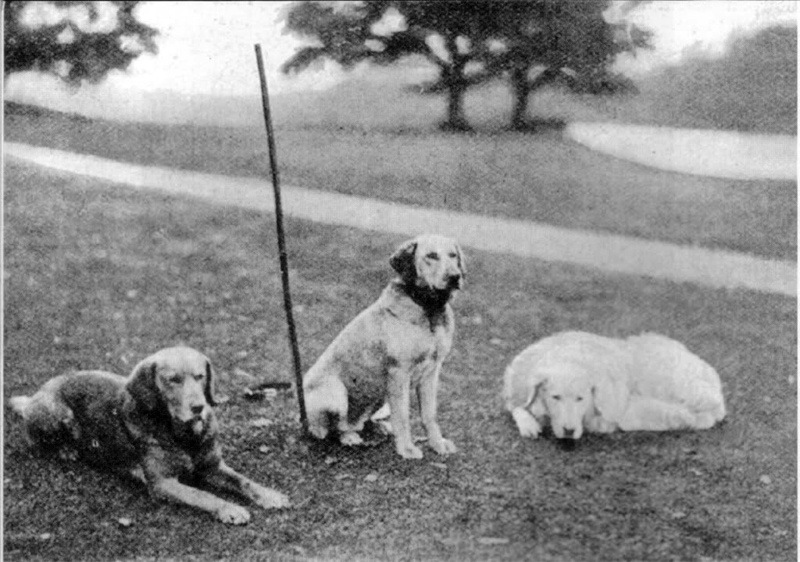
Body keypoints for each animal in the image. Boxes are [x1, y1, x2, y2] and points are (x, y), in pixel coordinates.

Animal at [9, 344, 290, 524]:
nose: (199, 407)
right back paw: (66, 450)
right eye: (173, 379)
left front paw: (268, 494)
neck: (183, 435)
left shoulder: (212, 466)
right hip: (54, 411)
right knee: (36, 440)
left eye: (200, 376)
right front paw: (229, 507)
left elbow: (243, 480)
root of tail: (36, 395)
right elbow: (203, 495)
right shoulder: (162, 483)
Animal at [304, 234, 466, 458]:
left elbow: (429, 414)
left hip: (380, 396)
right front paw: (407, 448)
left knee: (361, 421)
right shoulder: (399, 373)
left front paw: (437, 443)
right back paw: (348, 437)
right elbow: (403, 416)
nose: (454, 277)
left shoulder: (431, 373)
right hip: (335, 393)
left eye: (453, 255)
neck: (428, 308)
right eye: (431, 256)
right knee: (330, 428)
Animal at [506, 330, 724, 440]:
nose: (569, 431)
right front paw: (529, 424)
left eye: (580, 398)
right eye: (555, 397)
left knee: (705, 415)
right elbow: (517, 407)